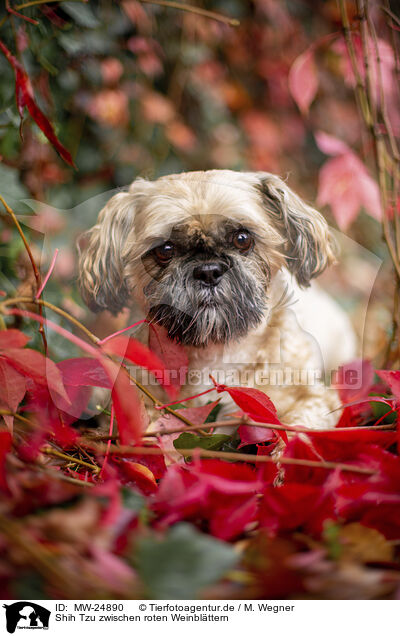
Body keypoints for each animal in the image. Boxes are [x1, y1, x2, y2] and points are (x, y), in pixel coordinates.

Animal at [79, 170, 356, 428]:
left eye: (242, 238)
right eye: (165, 250)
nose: (208, 271)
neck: (215, 353)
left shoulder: (315, 400)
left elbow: (296, 428)